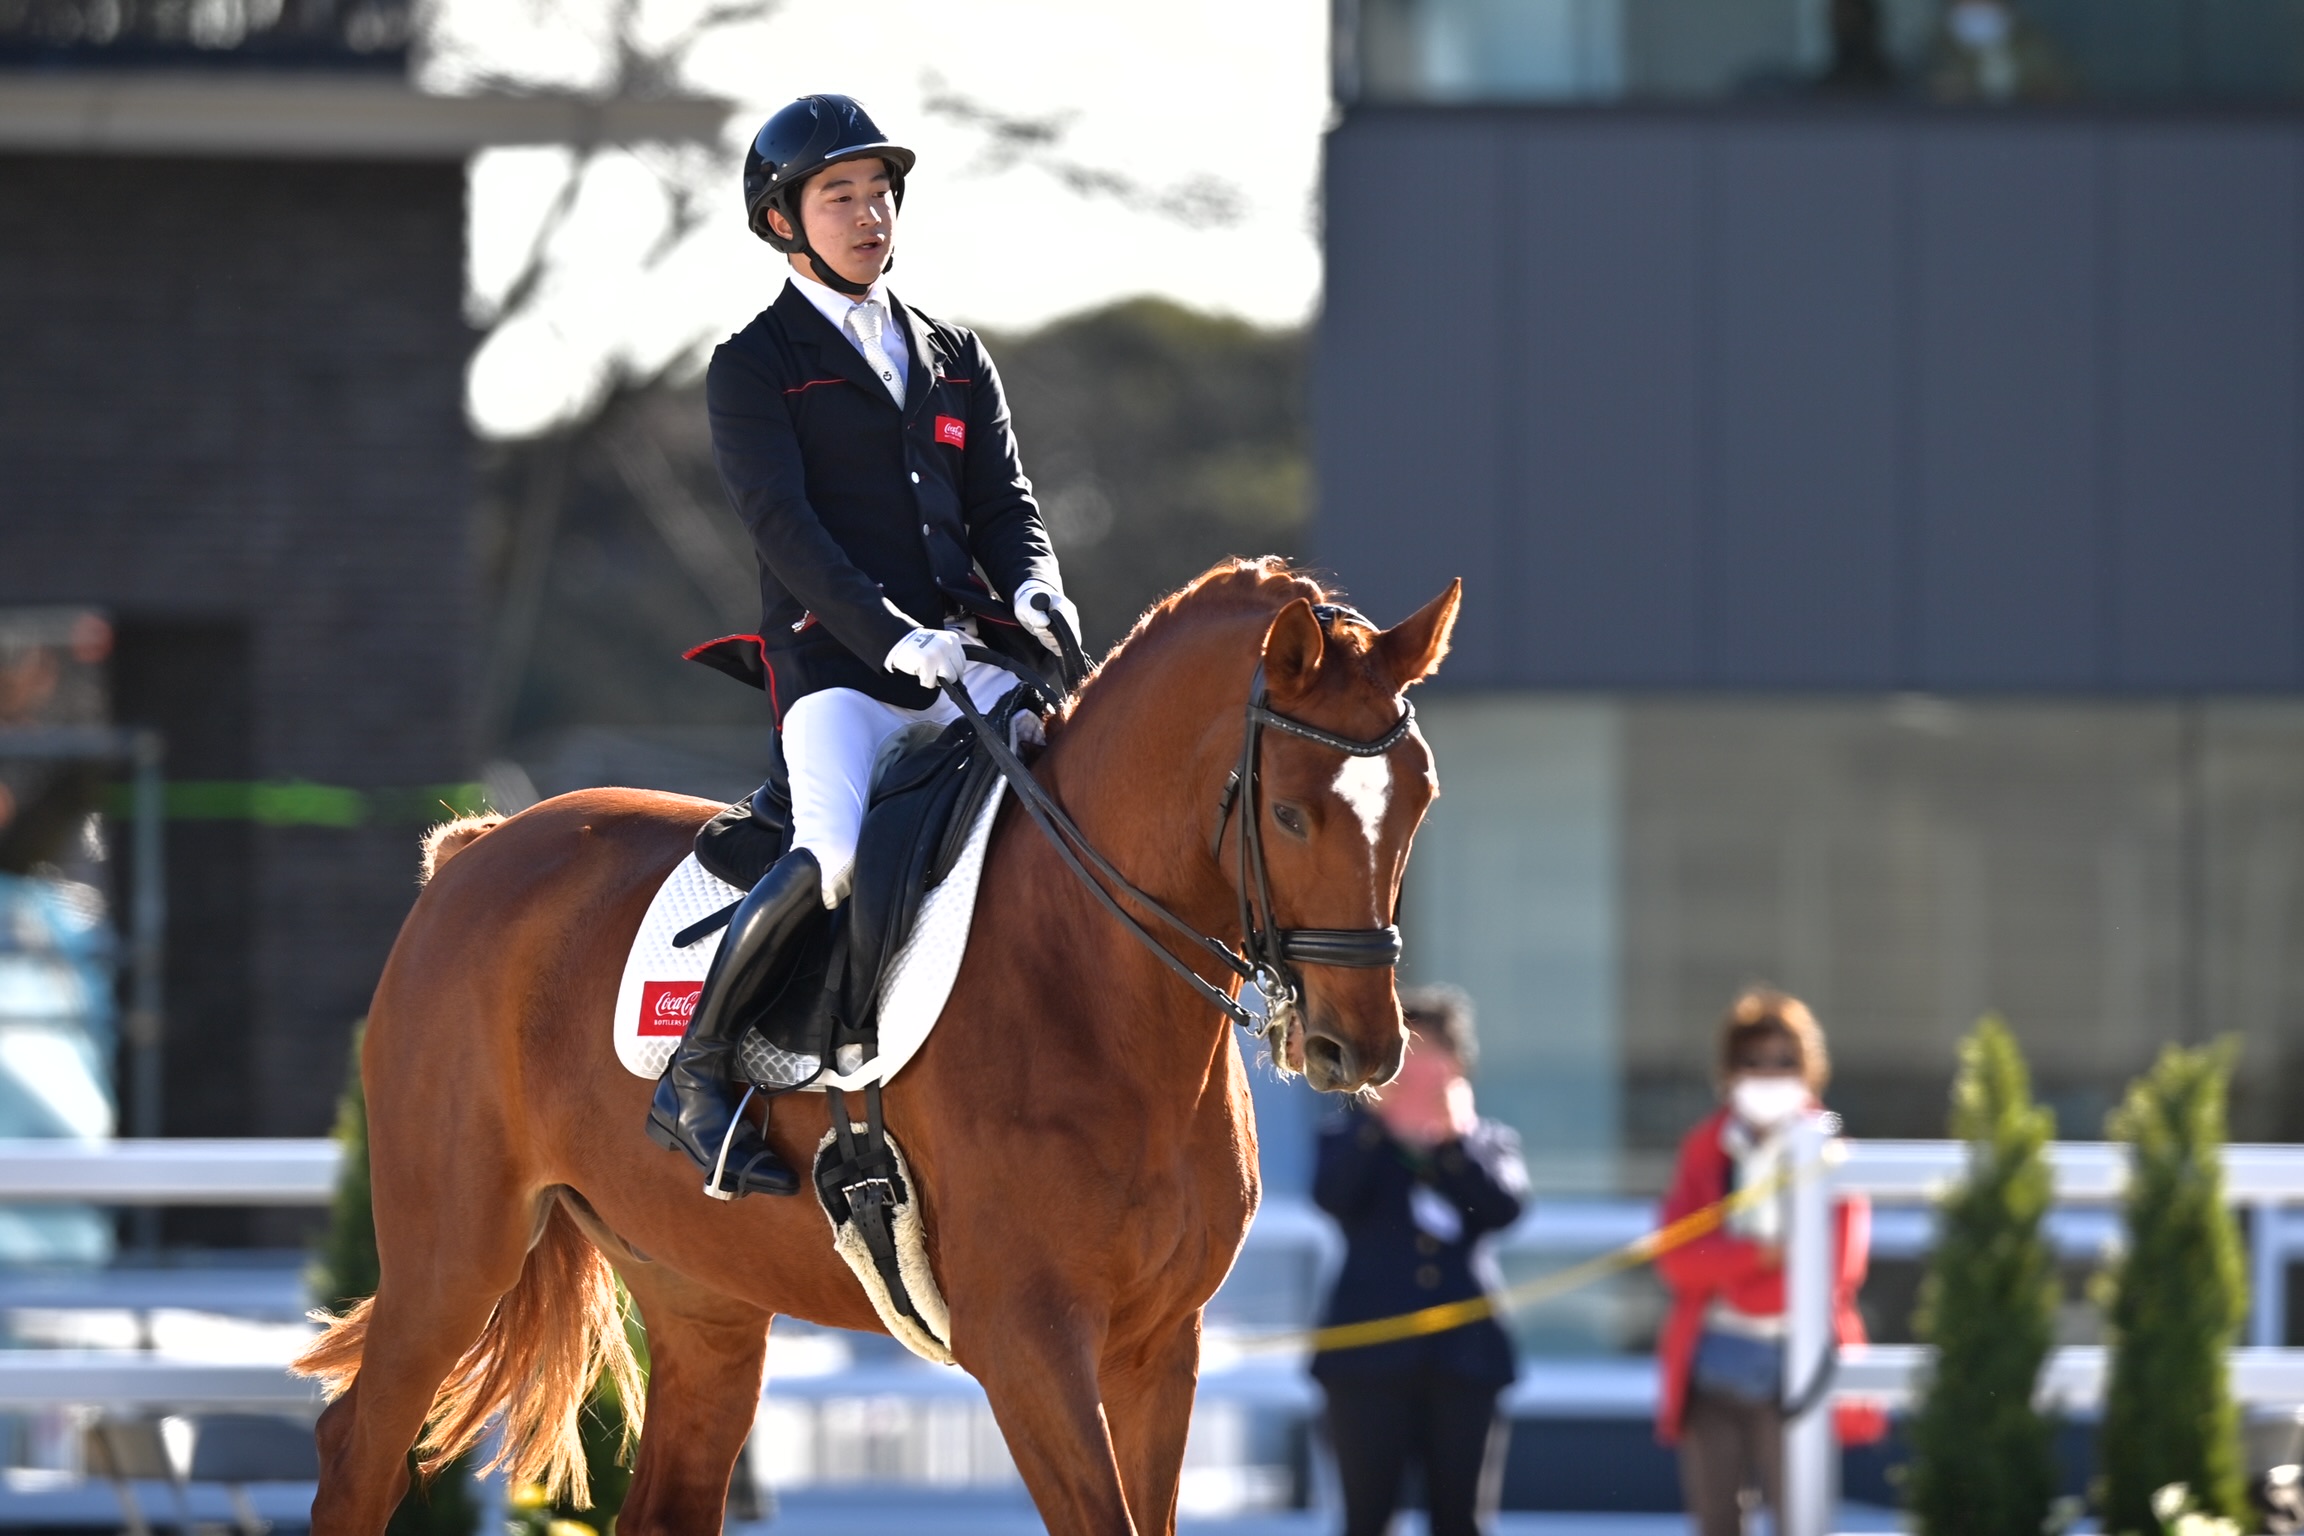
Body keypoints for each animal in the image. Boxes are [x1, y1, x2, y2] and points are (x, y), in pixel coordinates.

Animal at [301, 561, 1456, 1536]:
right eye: (1290, 814)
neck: (1090, 979)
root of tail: (474, 852)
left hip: (702, 1297)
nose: (1358, 1049)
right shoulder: (1027, 1344)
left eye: (1419, 801)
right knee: (358, 1445)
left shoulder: (1159, 1346)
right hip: (454, 1256)